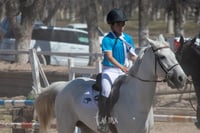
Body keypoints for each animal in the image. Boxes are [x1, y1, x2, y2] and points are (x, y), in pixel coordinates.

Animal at [34, 37, 188, 133]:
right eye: (162, 57)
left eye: (174, 55)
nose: (182, 78)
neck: (136, 100)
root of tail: (64, 86)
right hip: (66, 125)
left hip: (86, 127)